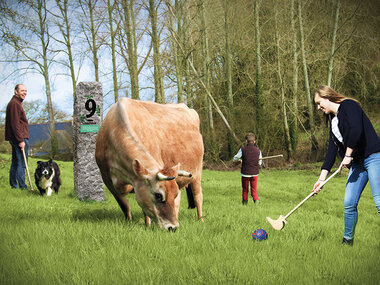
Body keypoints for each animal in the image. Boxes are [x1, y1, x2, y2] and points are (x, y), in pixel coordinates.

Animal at [94, 97, 202, 231]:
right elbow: (124, 204)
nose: (173, 227)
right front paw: (128, 222)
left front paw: (148, 225)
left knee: (198, 197)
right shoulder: (107, 178)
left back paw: (201, 220)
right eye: (158, 195)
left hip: (197, 173)